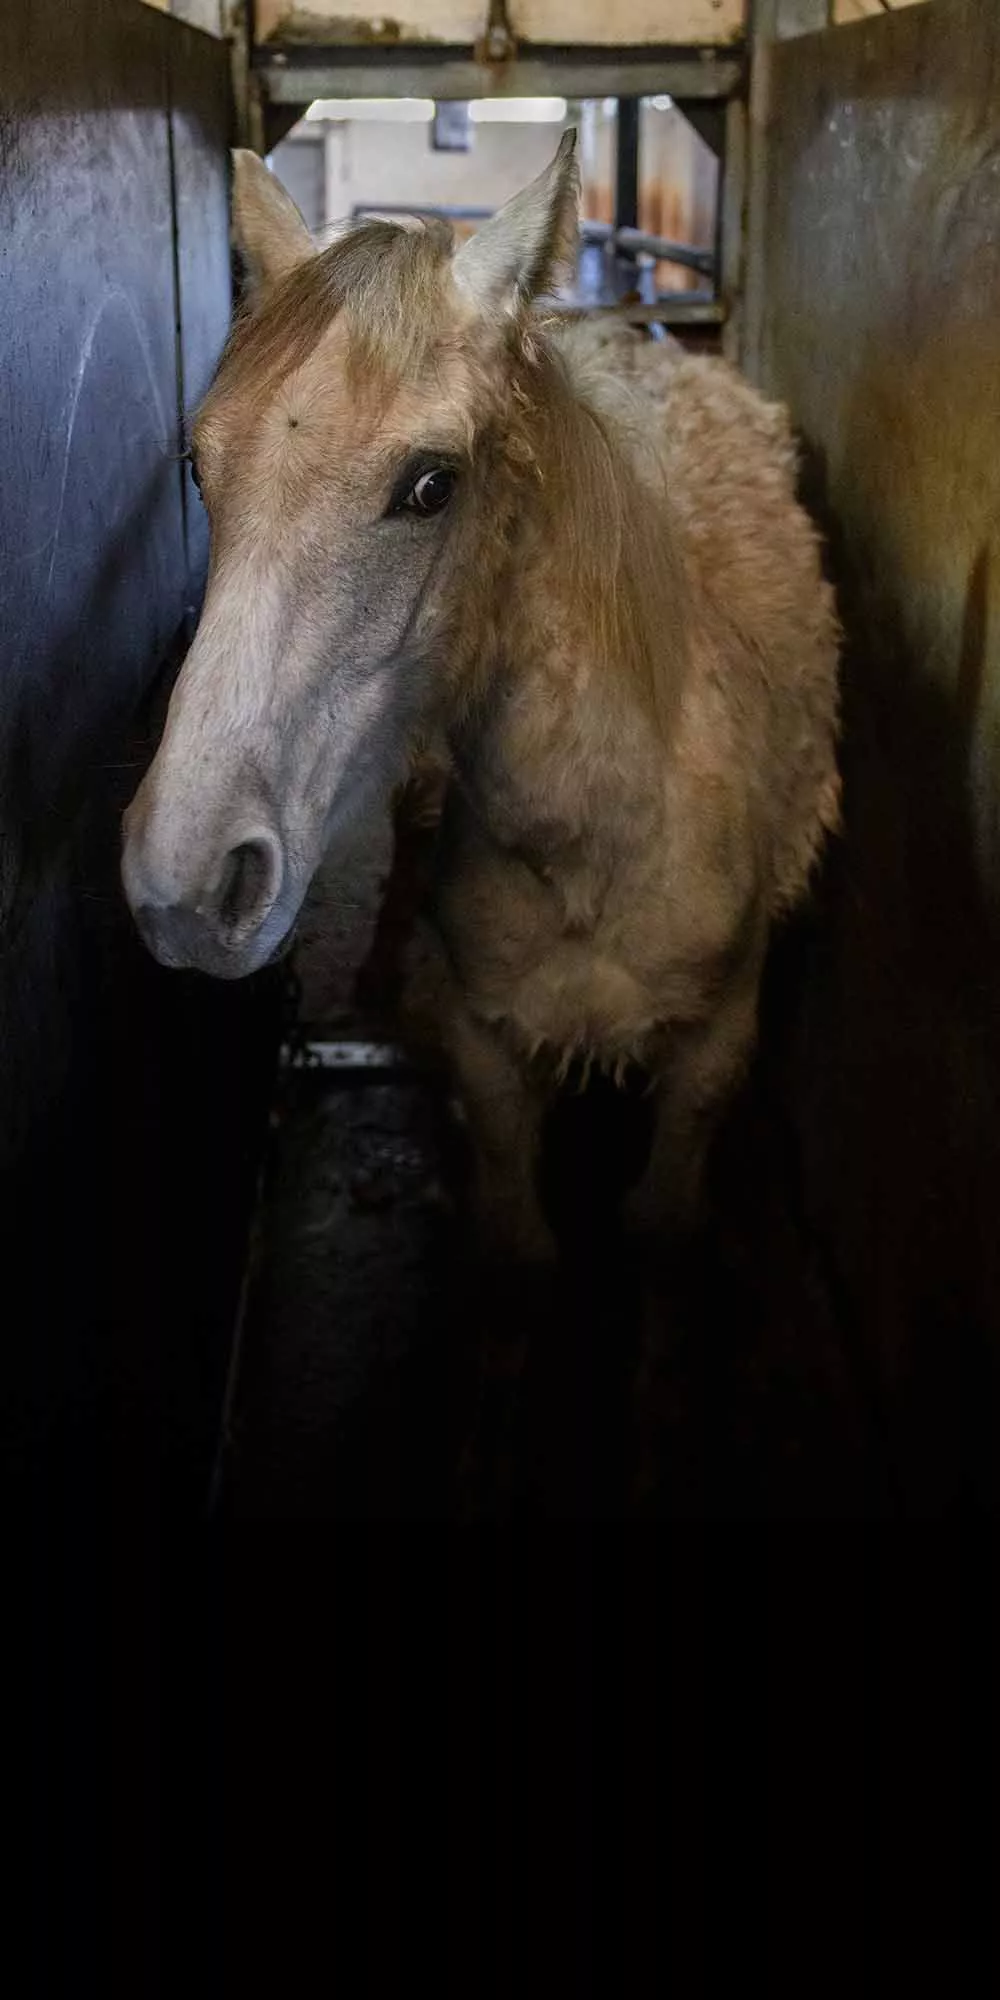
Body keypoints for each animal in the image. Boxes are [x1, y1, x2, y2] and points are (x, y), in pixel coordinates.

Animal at [119, 137, 836, 1264]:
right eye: (199, 466)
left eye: (431, 486)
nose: (185, 887)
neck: (597, 845)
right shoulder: (489, 1062)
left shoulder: (709, 1063)